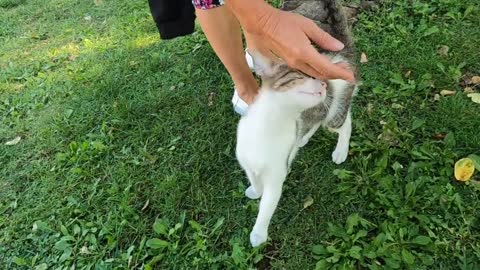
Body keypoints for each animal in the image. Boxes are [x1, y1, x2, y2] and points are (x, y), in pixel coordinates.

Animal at [234, 0, 358, 247]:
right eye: (305, 75)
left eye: (317, 75)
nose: (323, 83)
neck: (270, 125)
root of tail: (341, 52)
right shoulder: (246, 161)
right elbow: (254, 178)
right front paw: (254, 190)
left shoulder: (276, 177)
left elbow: (267, 206)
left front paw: (259, 233)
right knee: (315, 121)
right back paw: (304, 139)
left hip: (335, 111)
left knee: (344, 122)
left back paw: (341, 149)